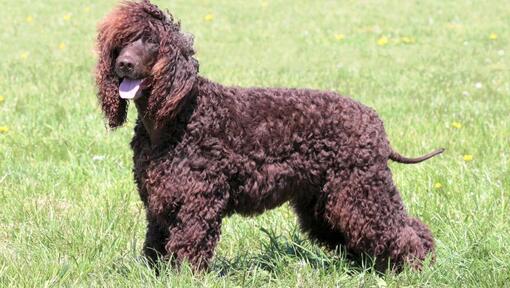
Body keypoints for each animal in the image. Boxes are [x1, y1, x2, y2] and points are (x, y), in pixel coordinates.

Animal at [94, 0, 442, 272]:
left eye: (150, 41)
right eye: (120, 43)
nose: (124, 64)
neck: (173, 119)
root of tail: (374, 122)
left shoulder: (197, 201)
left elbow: (188, 245)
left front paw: (183, 277)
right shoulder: (159, 200)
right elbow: (155, 244)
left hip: (360, 189)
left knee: (404, 230)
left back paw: (416, 267)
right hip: (325, 201)